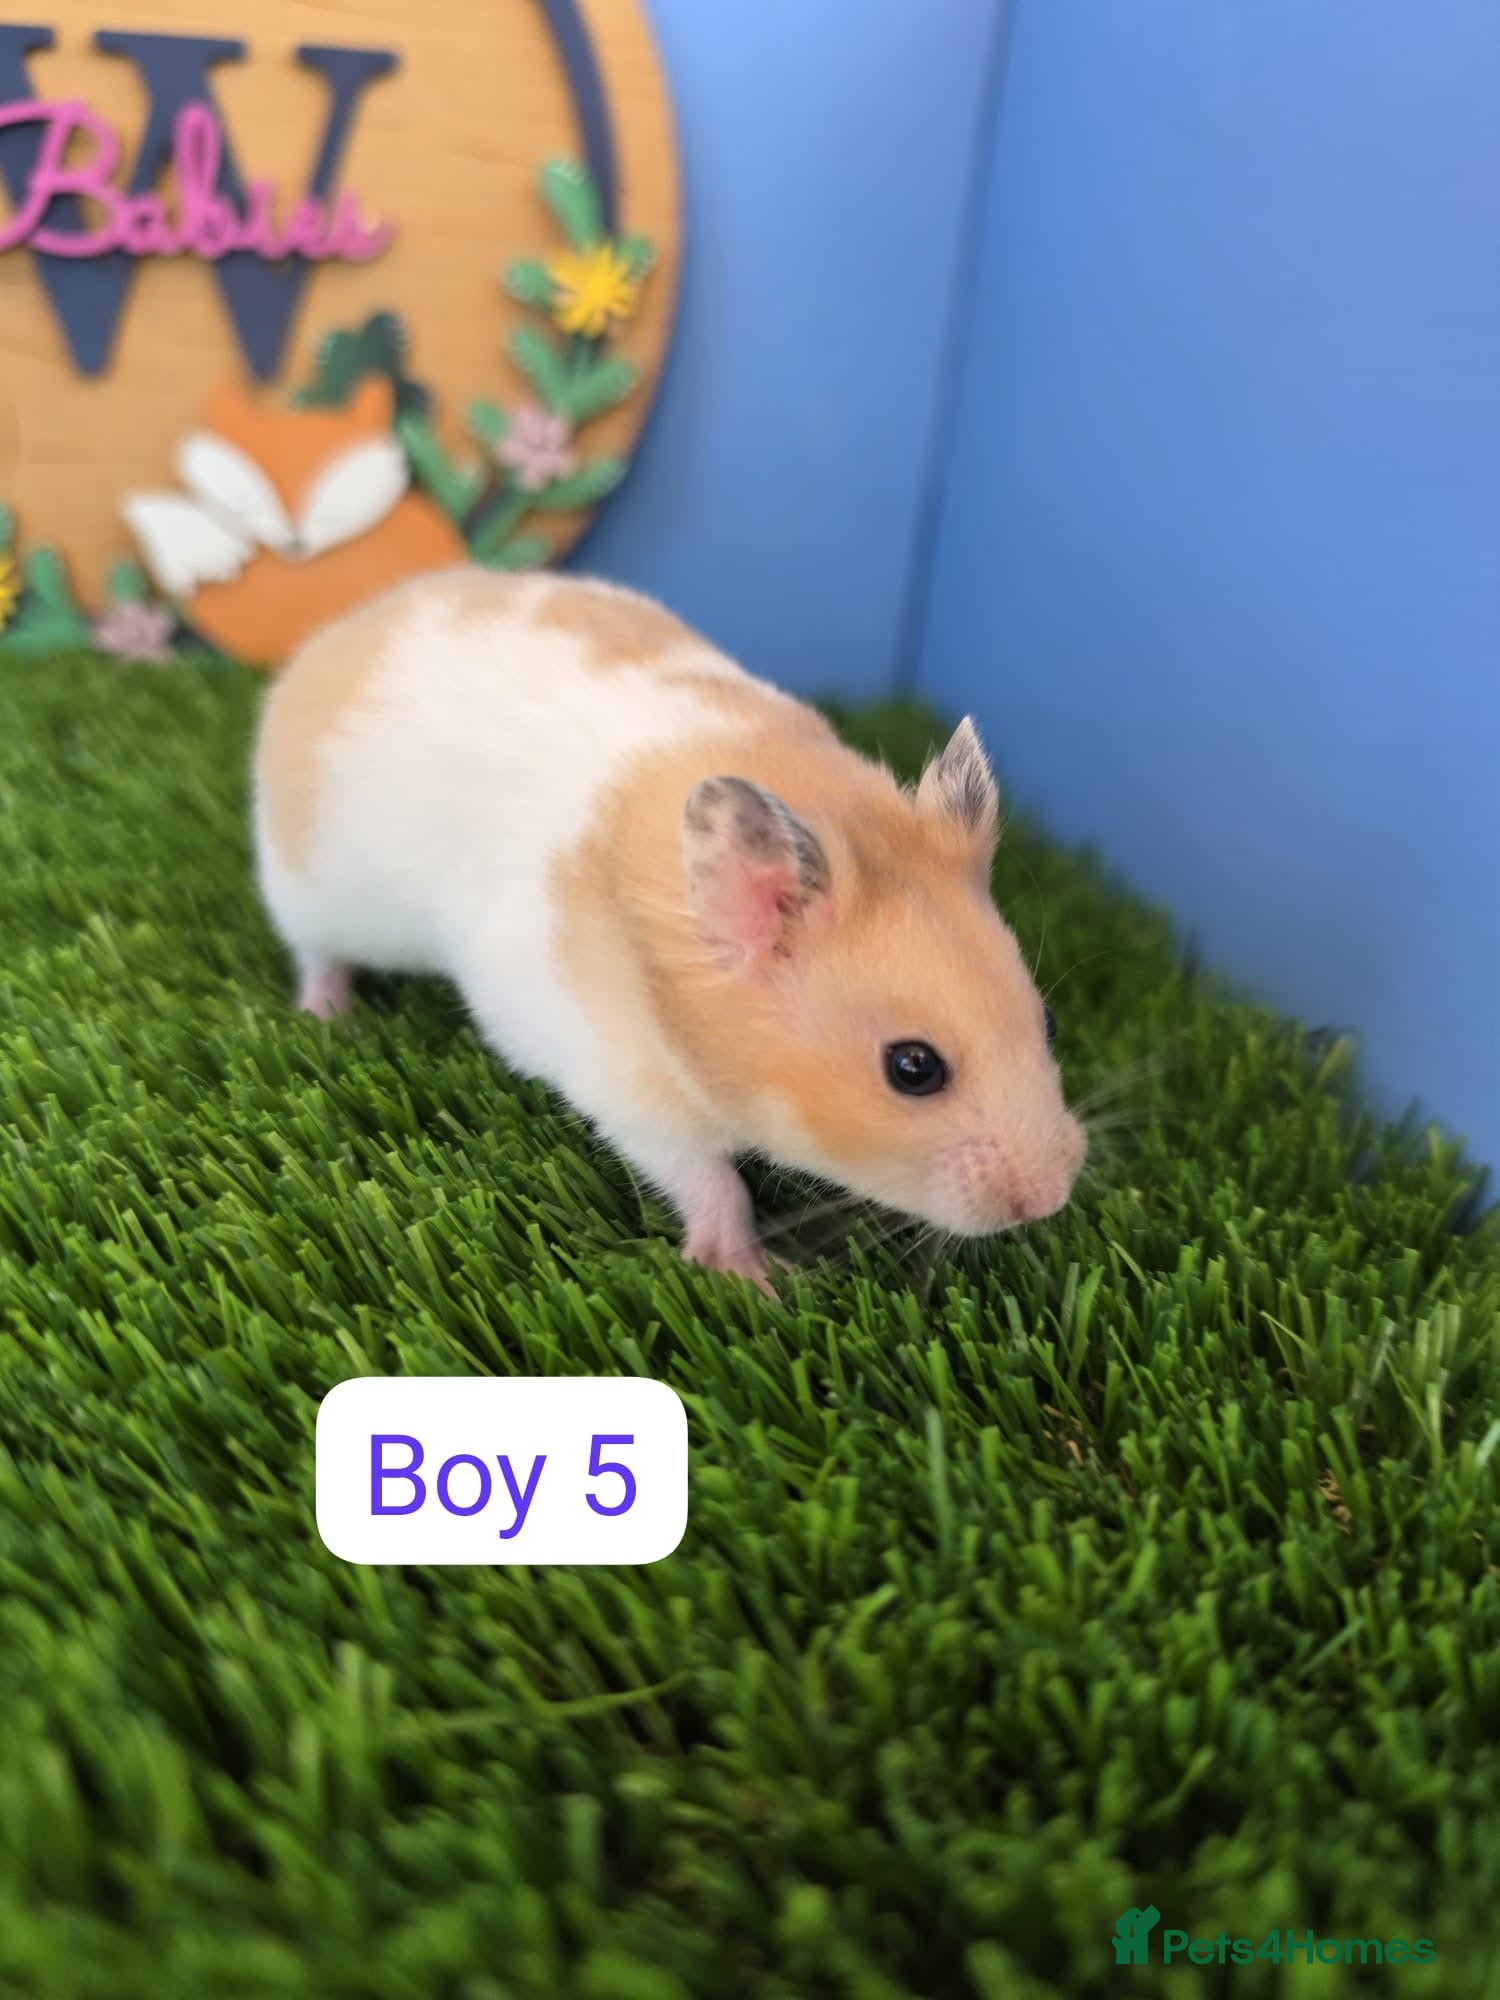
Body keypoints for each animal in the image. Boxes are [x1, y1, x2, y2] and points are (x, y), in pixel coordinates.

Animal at [252, 567, 1087, 1290]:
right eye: (913, 1068)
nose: (1051, 1197)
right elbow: (708, 1179)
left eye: (1048, 1019)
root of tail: (343, 629)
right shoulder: (622, 1084)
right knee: (316, 956)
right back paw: (329, 1017)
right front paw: (758, 1281)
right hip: (309, 892)